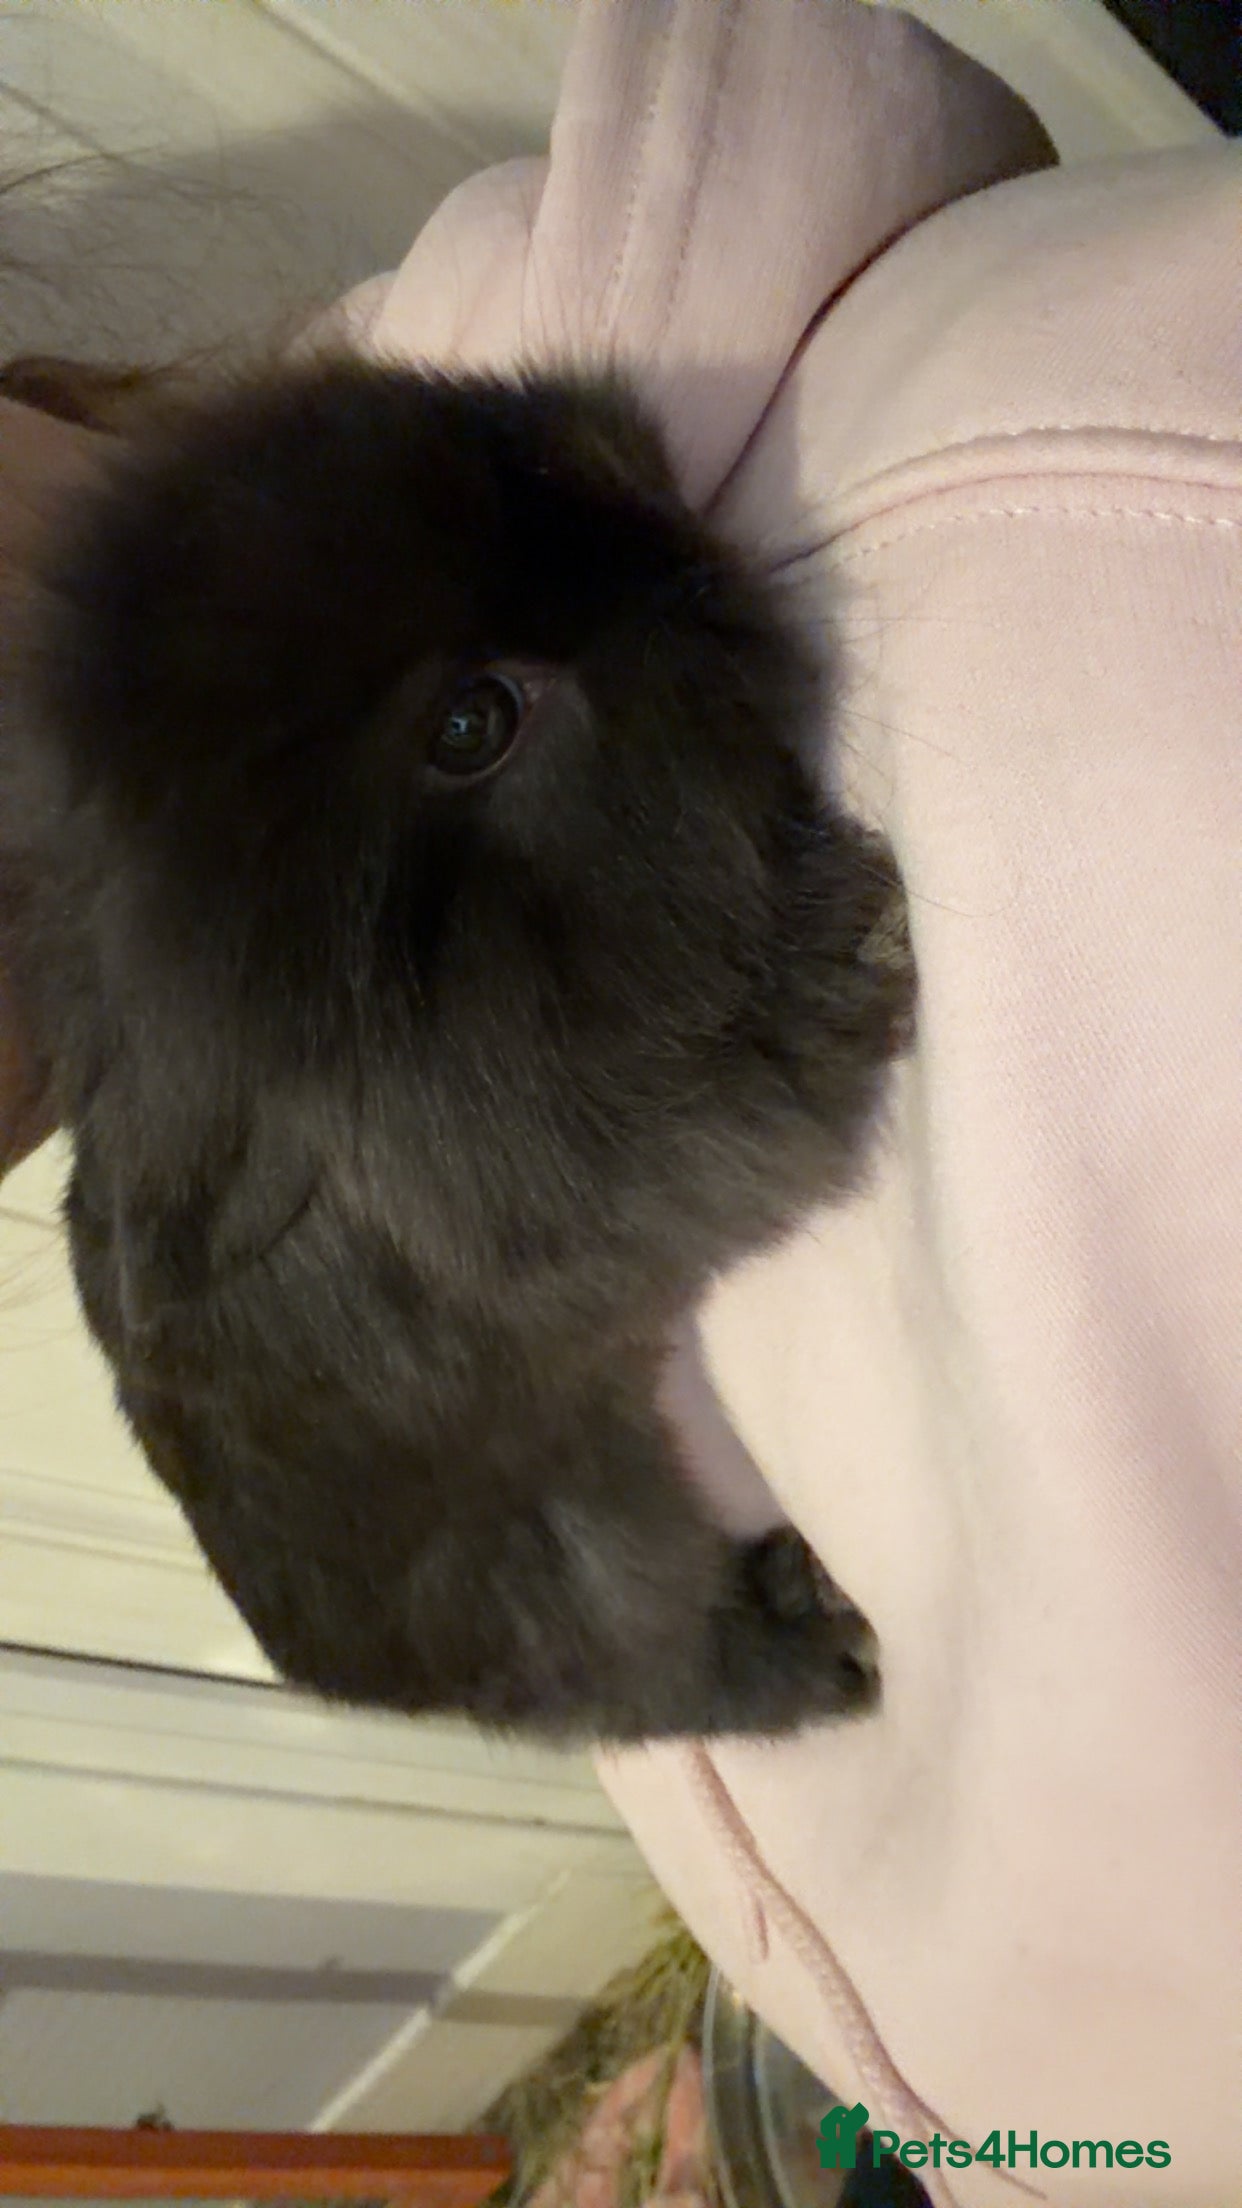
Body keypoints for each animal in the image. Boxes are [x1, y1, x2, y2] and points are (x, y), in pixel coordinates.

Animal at [0, 355, 914, 1743]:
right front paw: (875, 928)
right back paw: (824, 1640)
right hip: (589, 1566)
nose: (669, 533)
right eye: (473, 723)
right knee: (674, 1671)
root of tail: (312, 1666)